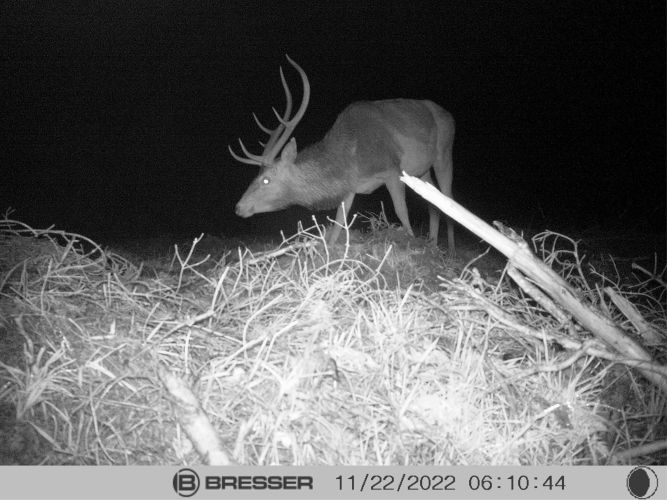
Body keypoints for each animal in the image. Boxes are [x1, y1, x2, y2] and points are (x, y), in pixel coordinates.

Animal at [230, 56, 456, 251]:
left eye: (266, 179)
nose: (239, 207)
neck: (351, 160)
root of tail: (450, 117)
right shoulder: (350, 187)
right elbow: (339, 224)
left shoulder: (392, 168)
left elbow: (401, 211)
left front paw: (412, 244)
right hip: (422, 171)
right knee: (434, 202)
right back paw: (433, 244)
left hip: (444, 151)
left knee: (447, 195)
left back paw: (450, 250)